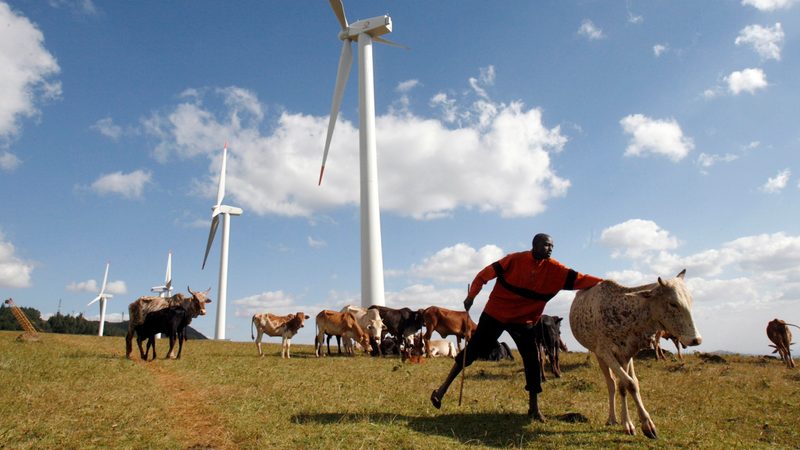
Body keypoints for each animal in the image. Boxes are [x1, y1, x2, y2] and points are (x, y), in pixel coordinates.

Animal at [568, 270, 700, 440]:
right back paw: (612, 418)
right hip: (599, 355)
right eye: (673, 303)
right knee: (611, 383)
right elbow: (628, 383)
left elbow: (629, 384)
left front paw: (630, 423)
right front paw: (646, 425)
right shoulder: (605, 351)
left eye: (691, 300)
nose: (696, 339)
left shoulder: (628, 353)